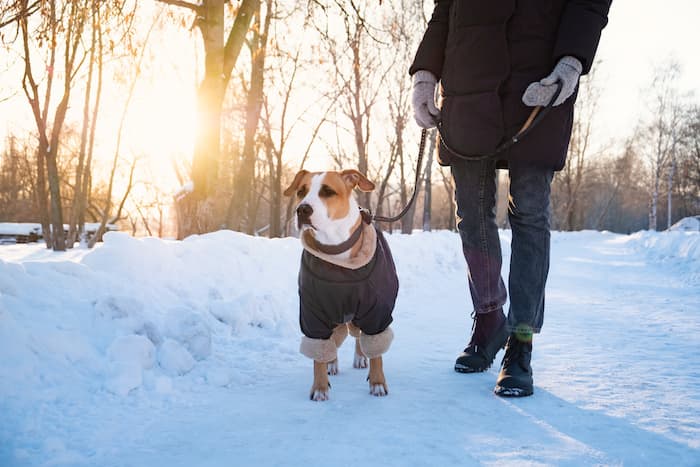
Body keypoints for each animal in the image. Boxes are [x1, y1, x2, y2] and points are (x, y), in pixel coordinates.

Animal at [282, 170, 396, 400]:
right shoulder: (313, 310)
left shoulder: (376, 310)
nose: (302, 210)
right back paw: (331, 363)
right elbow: (318, 350)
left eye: (328, 191)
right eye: (301, 191)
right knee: (332, 341)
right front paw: (319, 387)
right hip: (334, 315)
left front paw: (378, 382)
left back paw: (361, 358)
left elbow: (376, 350)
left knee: (360, 336)